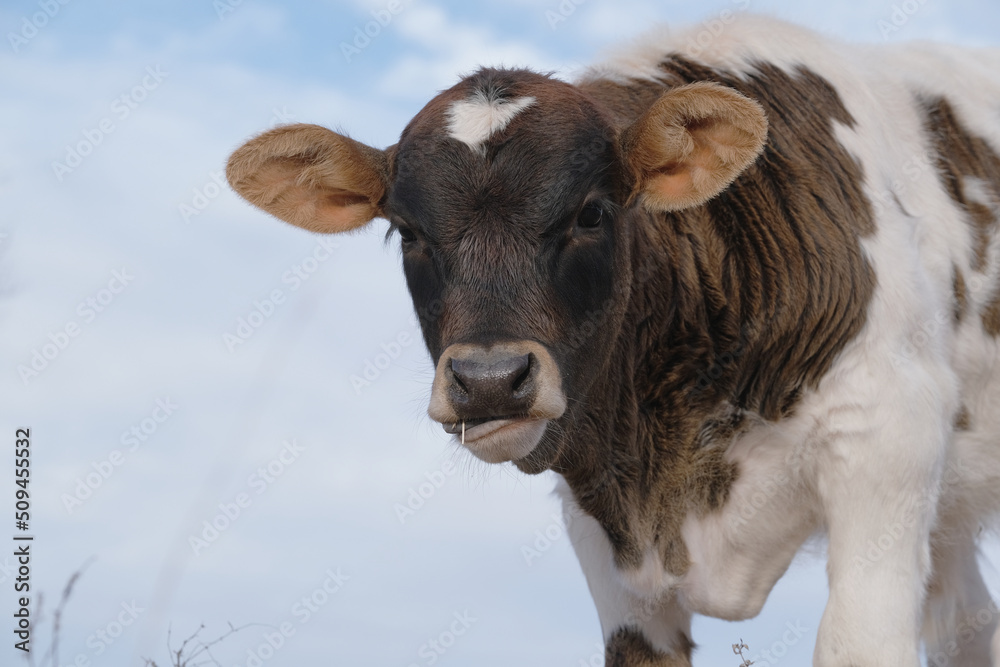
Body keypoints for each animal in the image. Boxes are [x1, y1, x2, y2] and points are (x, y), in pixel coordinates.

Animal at [227, 15, 1000, 667]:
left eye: (592, 213)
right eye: (407, 233)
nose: (488, 380)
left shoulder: (886, 446)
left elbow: (860, 644)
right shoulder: (602, 529)